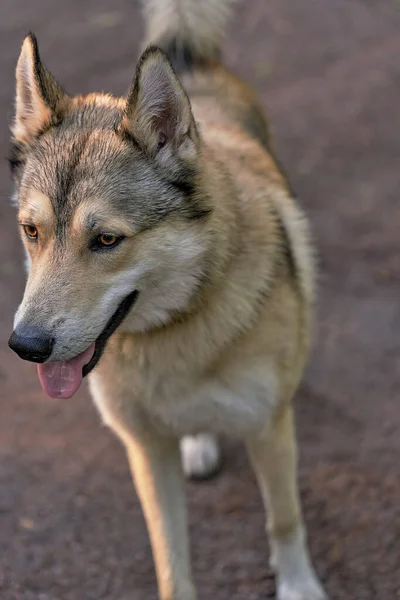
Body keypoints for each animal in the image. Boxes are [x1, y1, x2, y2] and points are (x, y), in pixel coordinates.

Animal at [7, 1, 328, 600]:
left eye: (106, 240)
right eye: (31, 231)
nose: (25, 346)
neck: (175, 329)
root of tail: (188, 62)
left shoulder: (270, 428)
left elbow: (284, 520)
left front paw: (299, 586)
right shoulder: (147, 451)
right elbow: (171, 562)